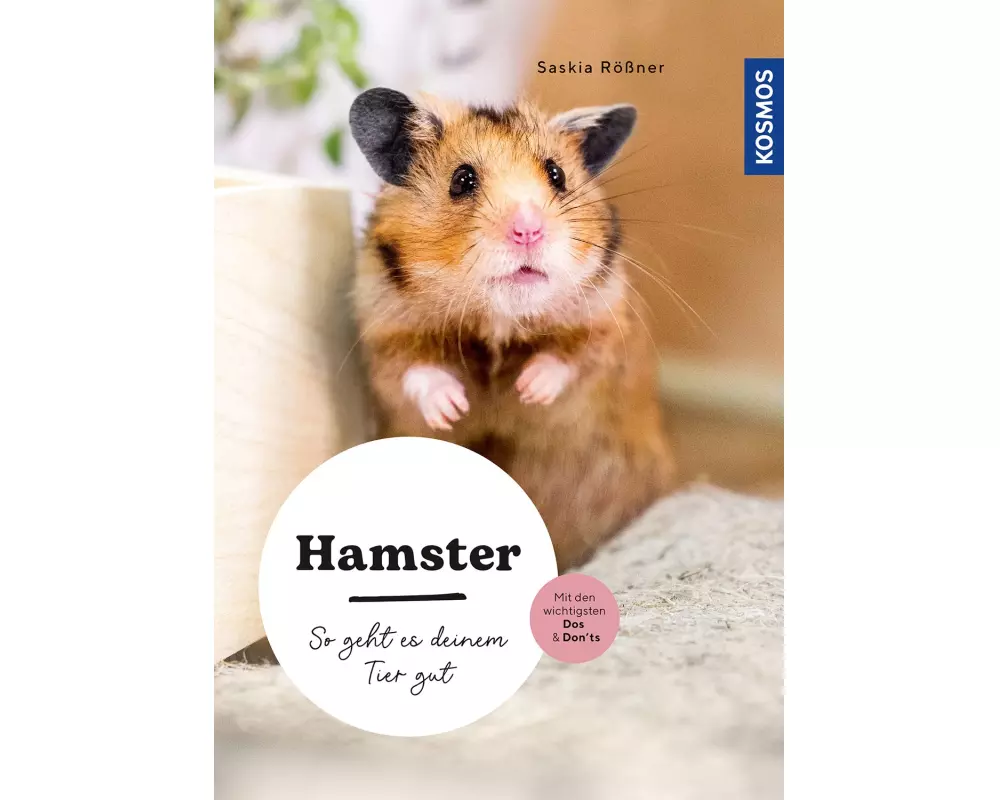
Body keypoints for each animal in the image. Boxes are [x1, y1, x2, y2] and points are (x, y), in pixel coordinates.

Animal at [348, 87, 676, 571]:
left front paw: (526, 390)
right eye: (462, 179)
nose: (528, 231)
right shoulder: (383, 331)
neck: (500, 318)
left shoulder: (605, 329)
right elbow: (415, 369)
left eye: (557, 174)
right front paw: (454, 408)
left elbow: (569, 360)